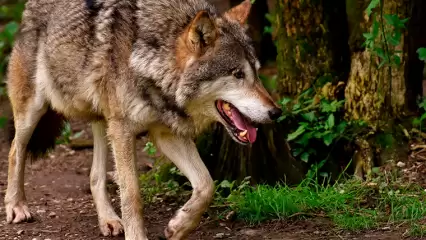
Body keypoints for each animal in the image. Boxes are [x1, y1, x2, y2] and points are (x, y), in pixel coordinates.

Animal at [5, 0, 282, 239]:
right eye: (237, 74)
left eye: (257, 73)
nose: (276, 112)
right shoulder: (124, 130)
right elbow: (132, 195)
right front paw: (138, 235)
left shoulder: (165, 133)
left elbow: (206, 185)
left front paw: (179, 226)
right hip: (34, 110)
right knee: (15, 150)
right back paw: (16, 206)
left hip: (103, 121)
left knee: (95, 176)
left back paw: (108, 220)